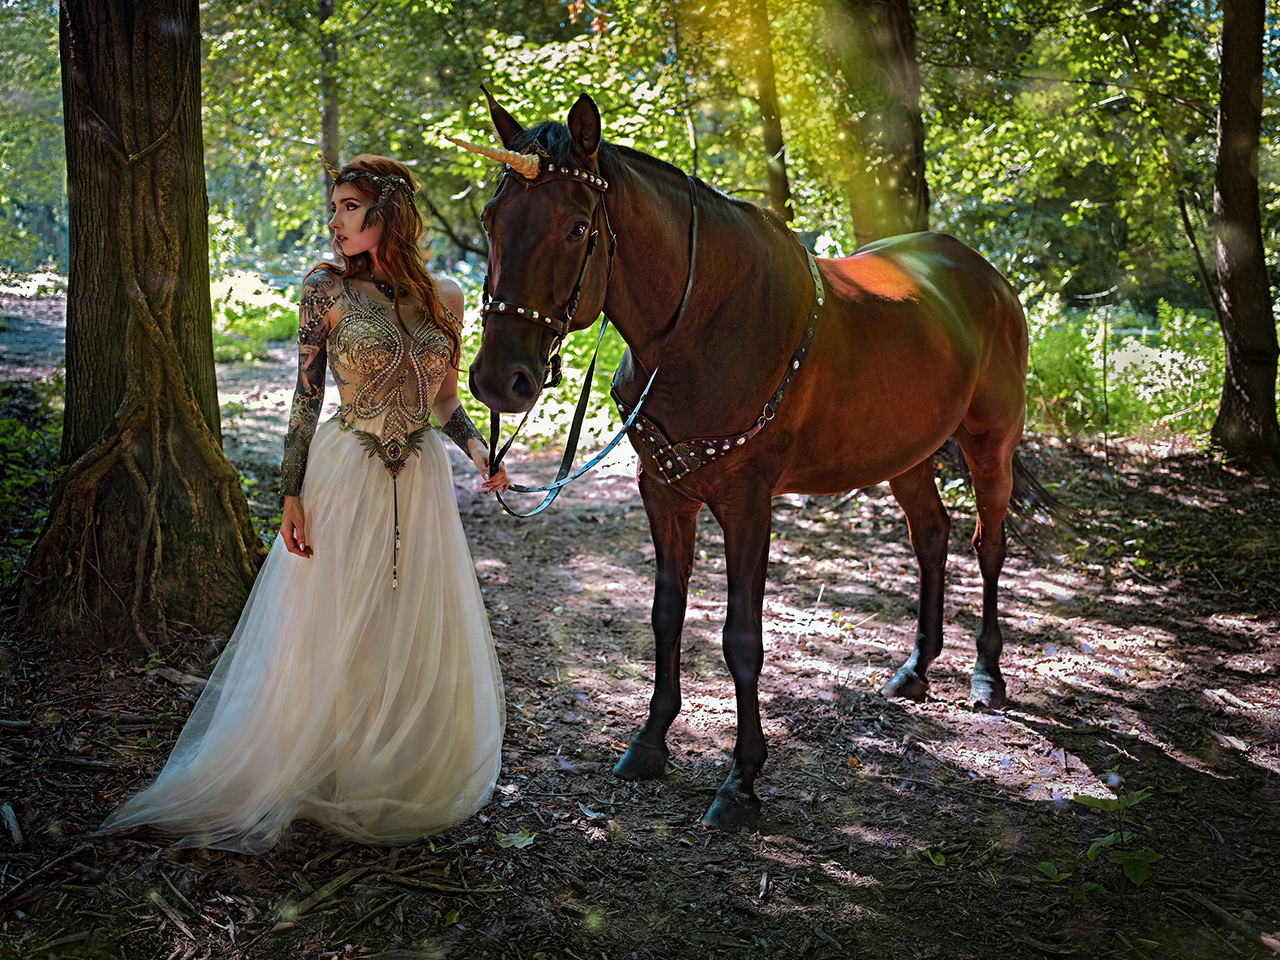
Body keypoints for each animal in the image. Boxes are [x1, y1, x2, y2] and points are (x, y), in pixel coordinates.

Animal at [465, 92, 1034, 834]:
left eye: (576, 227)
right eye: (491, 216)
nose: (498, 381)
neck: (701, 323)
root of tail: (984, 273)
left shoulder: (747, 504)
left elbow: (741, 637)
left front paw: (741, 780)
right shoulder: (663, 493)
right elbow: (666, 615)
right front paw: (650, 743)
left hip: (990, 442)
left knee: (988, 543)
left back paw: (987, 677)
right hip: (906, 452)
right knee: (931, 535)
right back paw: (916, 669)